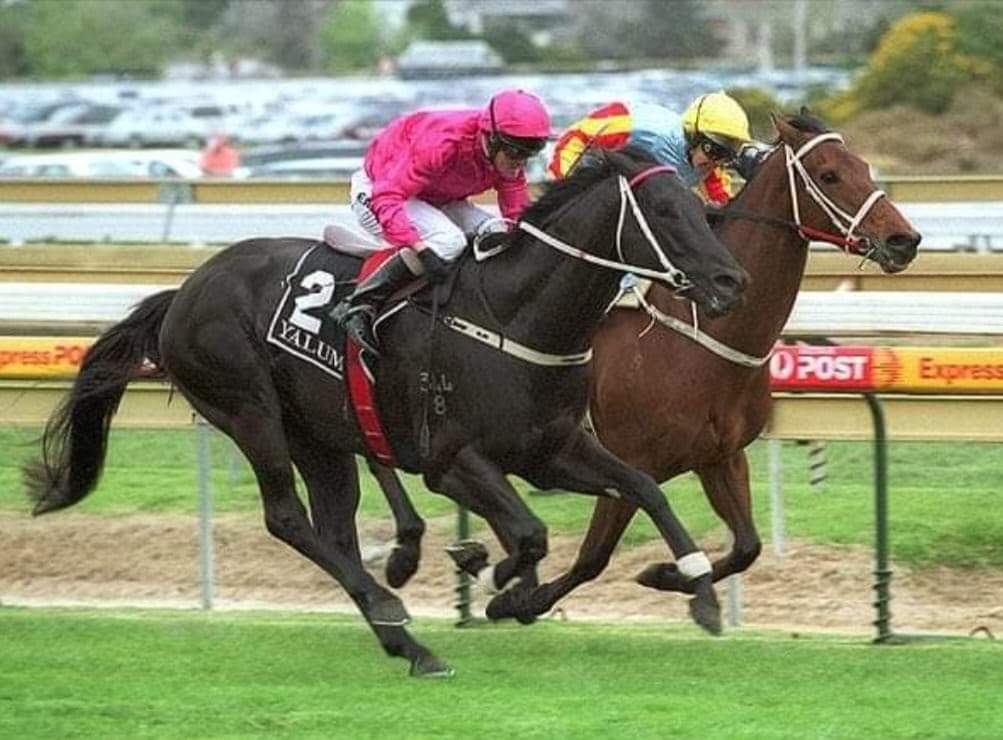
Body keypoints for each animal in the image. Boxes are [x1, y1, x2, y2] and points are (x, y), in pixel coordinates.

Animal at [23, 147, 750, 677]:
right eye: (664, 210)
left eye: (698, 205)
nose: (731, 281)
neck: (514, 314)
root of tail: (183, 291)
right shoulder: (451, 460)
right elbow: (529, 532)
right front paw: (497, 577)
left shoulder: (550, 448)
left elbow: (644, 488)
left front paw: (699, 590)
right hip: (249, 410)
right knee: (288, 518)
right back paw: (396, 610)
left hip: (316, 433)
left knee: (334, 528)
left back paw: (406, 638)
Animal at [367, 108, 918, 617]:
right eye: (829, 175)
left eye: (865, 166)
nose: (904, 240)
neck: (701, 336)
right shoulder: (631, 459)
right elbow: (593, 556)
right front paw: (518, 599)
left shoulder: (719, 457)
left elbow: (747, 546)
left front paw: (665, 575)